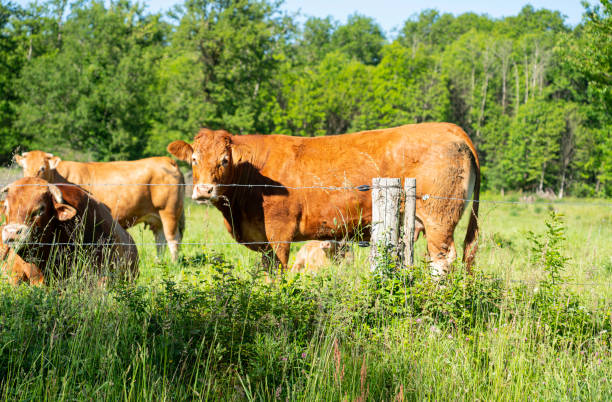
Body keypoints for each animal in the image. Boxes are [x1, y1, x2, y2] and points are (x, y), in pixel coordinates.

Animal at [14, 151, 184, 260]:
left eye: (42, 168)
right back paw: (159, 262)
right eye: (24, 168)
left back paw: (173, 263)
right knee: (161, 240)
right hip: (157, 217)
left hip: (169, 211)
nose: (30, 181)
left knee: (173, 239)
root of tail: (166, 160)